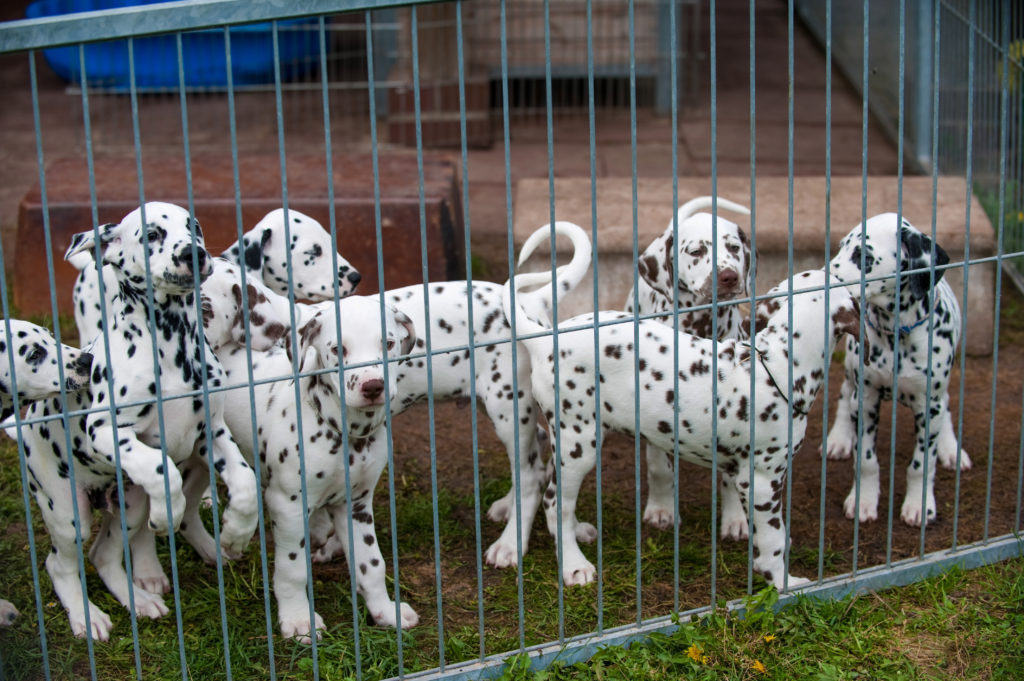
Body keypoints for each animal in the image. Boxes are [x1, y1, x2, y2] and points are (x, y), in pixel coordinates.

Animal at [211, 296, 415, 639]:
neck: (344, 432)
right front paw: (297, 620)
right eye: (337, 349)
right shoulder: (287, 506)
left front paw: (385, 610)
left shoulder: (356, 504)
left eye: (388, 343)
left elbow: (372, 563)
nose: (373, 386)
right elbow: (293, 569)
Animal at [507, 258, 860, 585]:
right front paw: (783, 581)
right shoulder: (762, 481)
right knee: (555, 503)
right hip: (578, 445)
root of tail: (544, 338)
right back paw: (573, 566)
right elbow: (773, 540)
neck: (774, 365)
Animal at [618, 193, 757, 540]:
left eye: (734, 248)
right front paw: (662, 509)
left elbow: (730, 475)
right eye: (697, 251)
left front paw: (736, 518)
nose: (729, 277)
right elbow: (658, 466)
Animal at [823, 213, 966, 524]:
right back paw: (838, 439)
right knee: (844, 393)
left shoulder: (929, 406)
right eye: (839, 248)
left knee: (949, 402)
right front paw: (863, 501)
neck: (896, 334)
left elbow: (921, 465)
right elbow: (866, 460)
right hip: (851, 371)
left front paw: (919, 505)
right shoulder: (866, 400)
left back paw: (952, 449)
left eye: (864, 257)